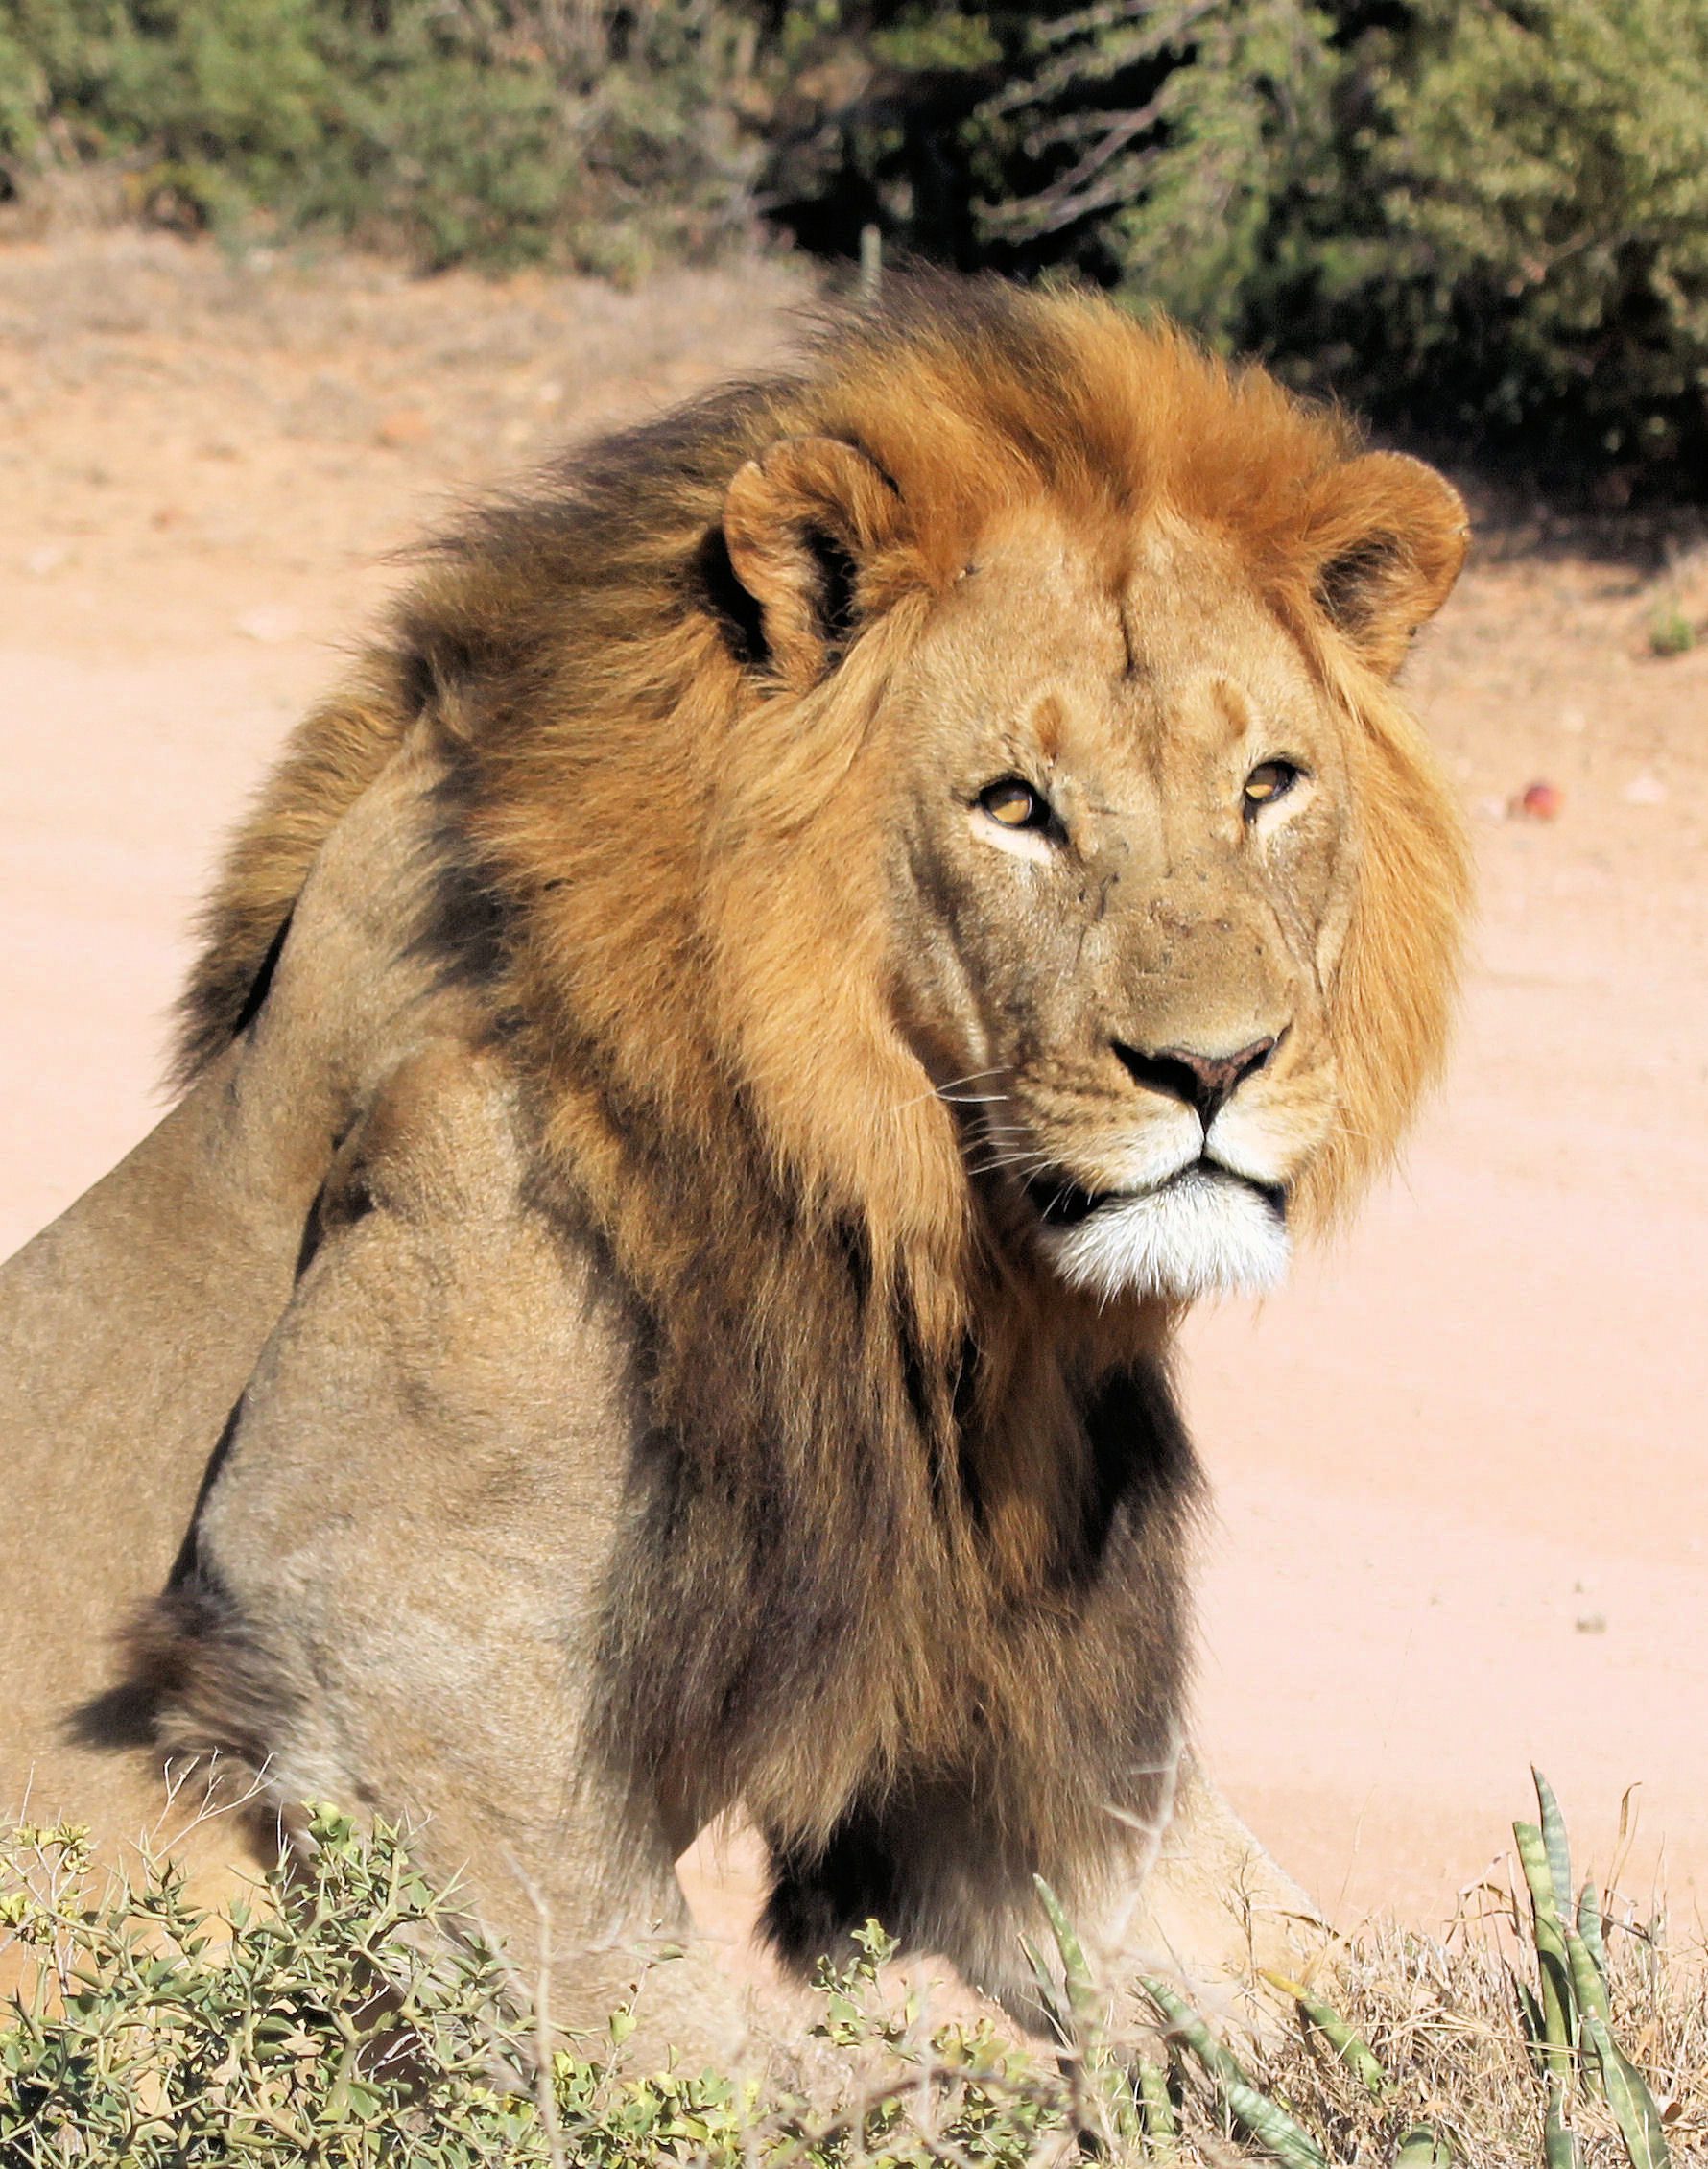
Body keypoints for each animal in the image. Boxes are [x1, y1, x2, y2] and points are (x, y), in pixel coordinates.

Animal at [1, 273, 1470, 2063]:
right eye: (1014, 807)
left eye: (1268, 785)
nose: (1214, 1068)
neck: (932, 1246)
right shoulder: (372, 1617)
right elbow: (677, 2051)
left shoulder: (1025, 1730)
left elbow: (1316, 2001)